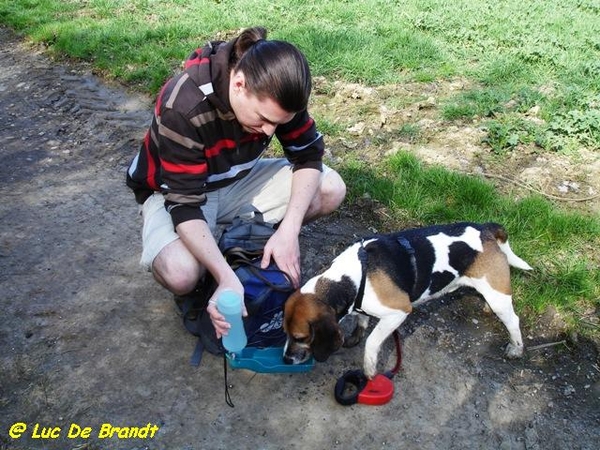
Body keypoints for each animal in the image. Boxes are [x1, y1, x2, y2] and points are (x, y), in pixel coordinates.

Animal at [284, 223, 532, 378]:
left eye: (301, 337)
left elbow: (372, 341)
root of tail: (486, 228)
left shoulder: (398, 312)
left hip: (498, 295)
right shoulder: (362, 307)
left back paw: (516, 349)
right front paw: (355, 337)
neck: (353, 277)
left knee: (513, 321)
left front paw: (369, 370)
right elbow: (361, 322)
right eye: (284, 332)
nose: (285, 360)